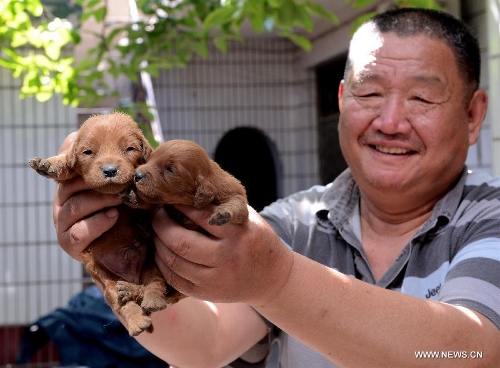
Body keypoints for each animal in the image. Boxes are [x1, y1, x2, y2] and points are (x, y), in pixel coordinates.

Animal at [26, 112, 180, 336]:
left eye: (129, 149)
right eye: (88, 152)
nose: (110, 170)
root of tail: (131, 276)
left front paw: (135, 195)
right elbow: (67, 163)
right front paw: (49, 164)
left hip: (152, 267)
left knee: (154, 286)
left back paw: (150, 300)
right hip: (108, 282)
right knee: (123, 303)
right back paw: (137, 321)